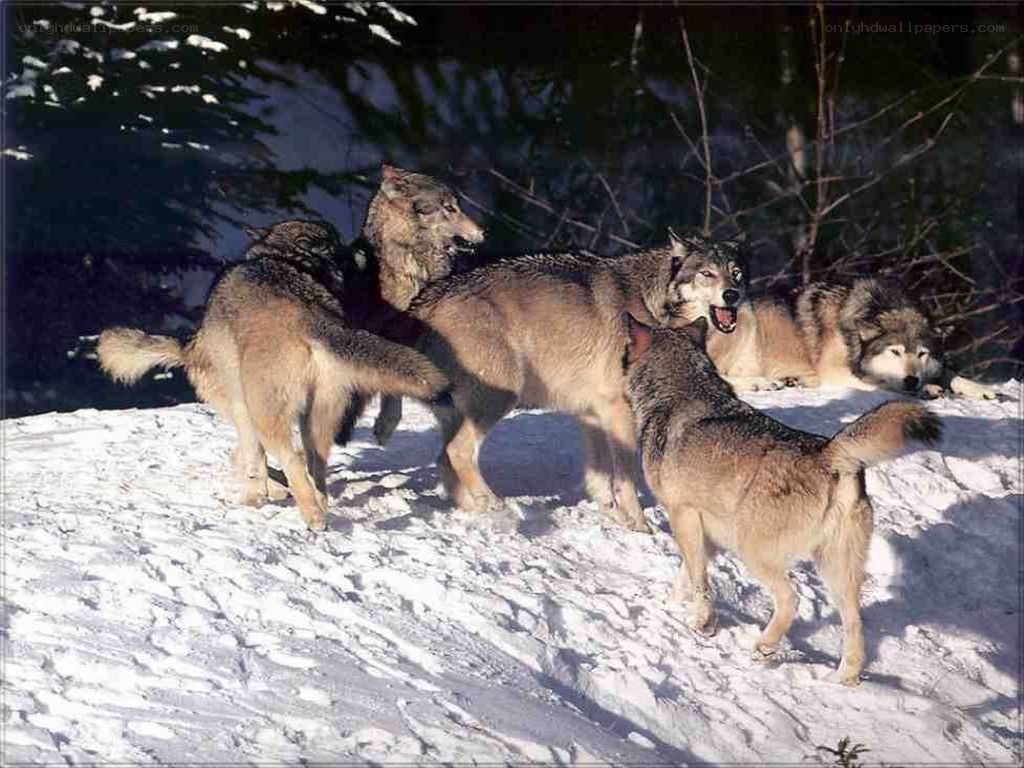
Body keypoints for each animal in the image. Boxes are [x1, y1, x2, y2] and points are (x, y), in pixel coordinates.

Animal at [98, 220, 451, 531]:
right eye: (339, 244)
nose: (361, 250)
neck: (285, 258)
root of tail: (310, 317)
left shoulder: (242, 410)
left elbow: (252, 462)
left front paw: (256, 499)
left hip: (267, 418)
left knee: (292, 460)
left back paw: (312, 518)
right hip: (317, 422)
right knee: (316, 467)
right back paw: (320, 509)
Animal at [406, 229, 745, 532]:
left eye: (736, 274)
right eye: (707, 274)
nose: (733, 295)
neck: (650, 304)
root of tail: (423, 302)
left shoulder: (591, 414)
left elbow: (600, 481)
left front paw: (617, 520)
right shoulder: (618, 411)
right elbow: (625, 478)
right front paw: (640, 526)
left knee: (443, 460)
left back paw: (476, 510)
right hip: (501, 396)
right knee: (458, 452)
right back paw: (494, 503)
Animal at [623, 314, 942, 685]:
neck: (679, 391)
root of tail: (829, 453)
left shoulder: (683, 516)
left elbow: (699, 581)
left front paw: (703, 623)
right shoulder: (707, 533)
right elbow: (686, 574)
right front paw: (674, 606)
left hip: (754, 552)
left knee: (792, 599)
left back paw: (765, 647)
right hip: (836, 572)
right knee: (855, 624)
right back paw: (842, 680)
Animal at [708, 278, 997, 399]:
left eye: (922, 354)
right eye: (895, 352)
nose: (912, 380)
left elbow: (949, 372)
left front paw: (980, 389)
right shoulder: (836, 372)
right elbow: (883, 382)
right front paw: (928, 388)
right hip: (742, 319)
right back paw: (760, 383)